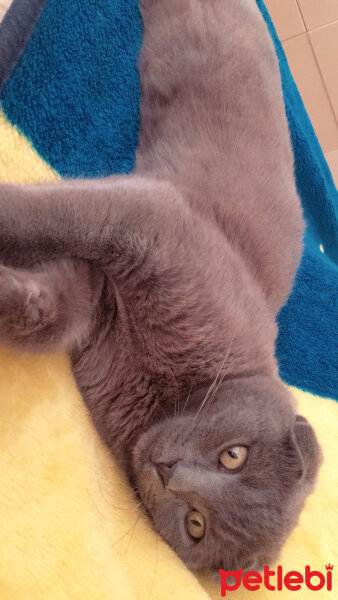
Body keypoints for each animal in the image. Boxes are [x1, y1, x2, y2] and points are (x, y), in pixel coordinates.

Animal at [0, 0, 322, 576]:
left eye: (196, 525)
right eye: (234, 455)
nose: (170, 472)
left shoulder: (92, 302)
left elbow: (45, 314)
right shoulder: (154, 224)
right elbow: (50, 218)